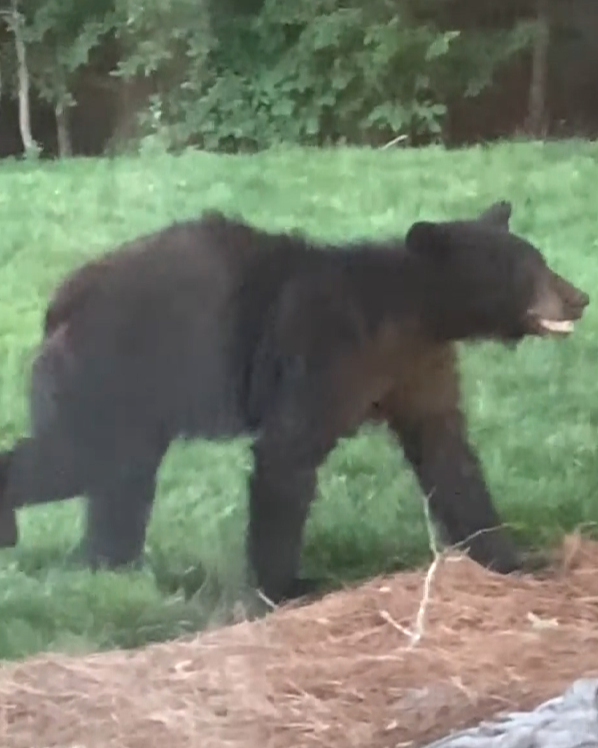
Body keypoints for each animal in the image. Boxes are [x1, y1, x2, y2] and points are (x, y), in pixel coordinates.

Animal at [0, 200, 589, 604]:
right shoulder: (325, 352)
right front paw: (288, 585)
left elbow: (450, 457)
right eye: (527, 268)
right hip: (109, 377)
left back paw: (111, 564)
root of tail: (59, 304)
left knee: (120, 481)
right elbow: (287, 457)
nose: (579, 297)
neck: (414, 313)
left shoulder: (418, 369)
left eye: (539, 259)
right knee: (79, 459)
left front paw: (515, 558)